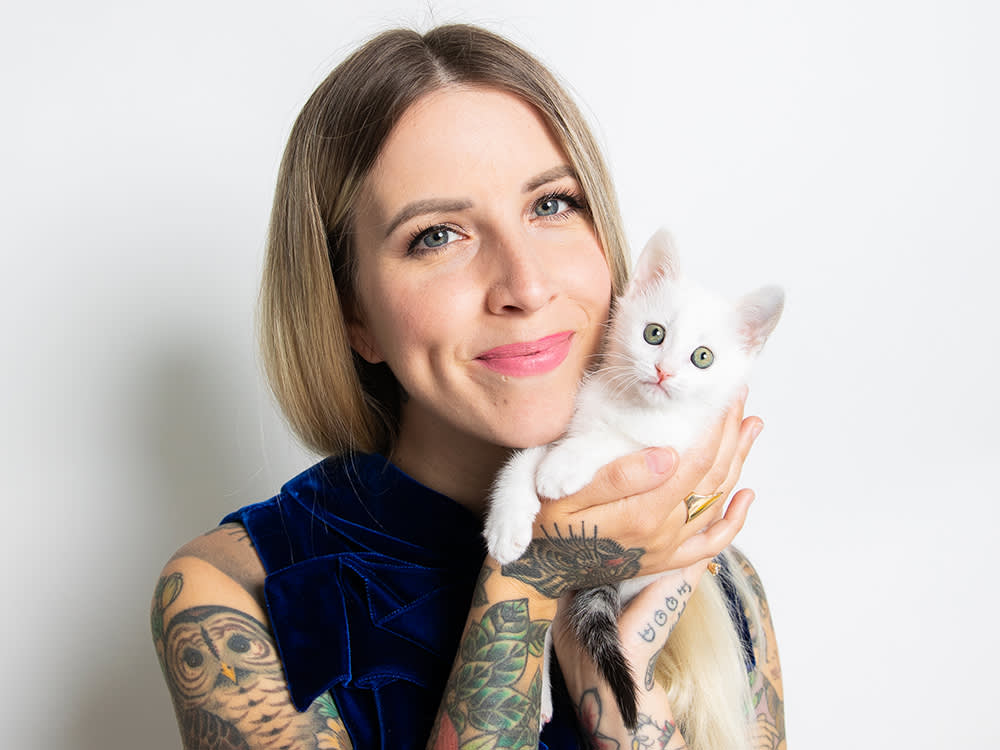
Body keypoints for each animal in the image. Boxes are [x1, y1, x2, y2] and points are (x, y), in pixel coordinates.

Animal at [480, 231, 784, 736]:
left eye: (703, 358)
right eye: (653, 333)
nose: (663, 372)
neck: (631, 406)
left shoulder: (677, 449)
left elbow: (615, 445)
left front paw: (562, 469)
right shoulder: (572, 421)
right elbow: (525, 459)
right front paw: (506, 525)